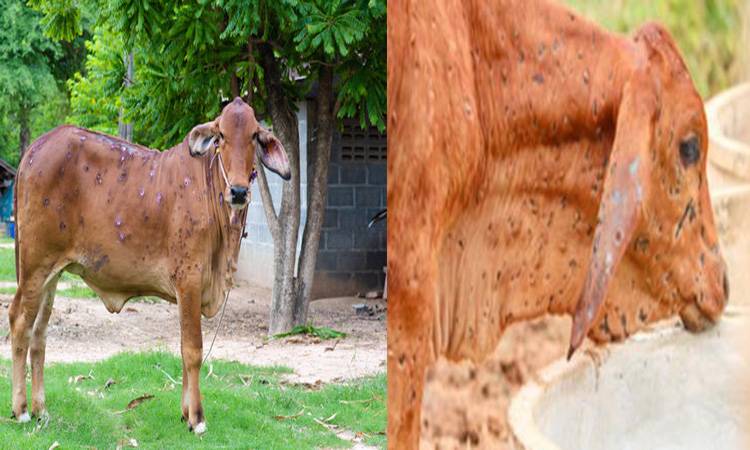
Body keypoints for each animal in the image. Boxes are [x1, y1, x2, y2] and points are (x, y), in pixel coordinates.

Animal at [8, 97, 290, 432]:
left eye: (253, 136)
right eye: (220, 136)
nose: (238, 191)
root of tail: (33, 150)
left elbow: (182, 347)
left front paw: (185, 412)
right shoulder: (189, 279)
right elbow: (192, 349)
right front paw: (197, 418)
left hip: (51, 274)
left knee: (39, 332)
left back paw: (41, 409)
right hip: (35, 265)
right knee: (19, 322)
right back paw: (21, 410)